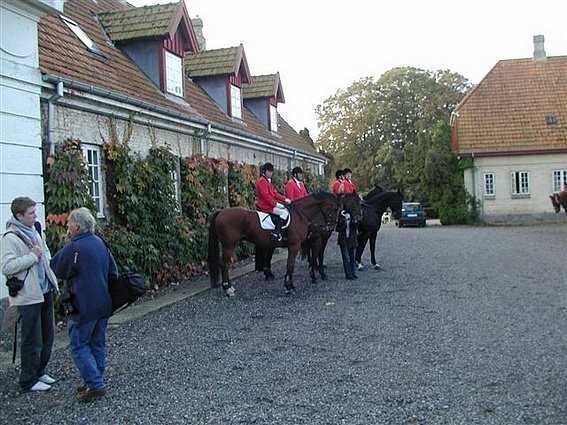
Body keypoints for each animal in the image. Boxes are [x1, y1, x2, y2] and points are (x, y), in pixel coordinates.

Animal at [208, 192, 342, 296]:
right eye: (335, 209)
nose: (330, 226)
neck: (301, 215)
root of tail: (221, 212)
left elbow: (294, 264)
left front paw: (292, 285)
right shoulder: (295, 246)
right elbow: (290, 265)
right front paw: (288, 287)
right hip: (228, 245)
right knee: (224, 265)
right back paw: (228, 289)